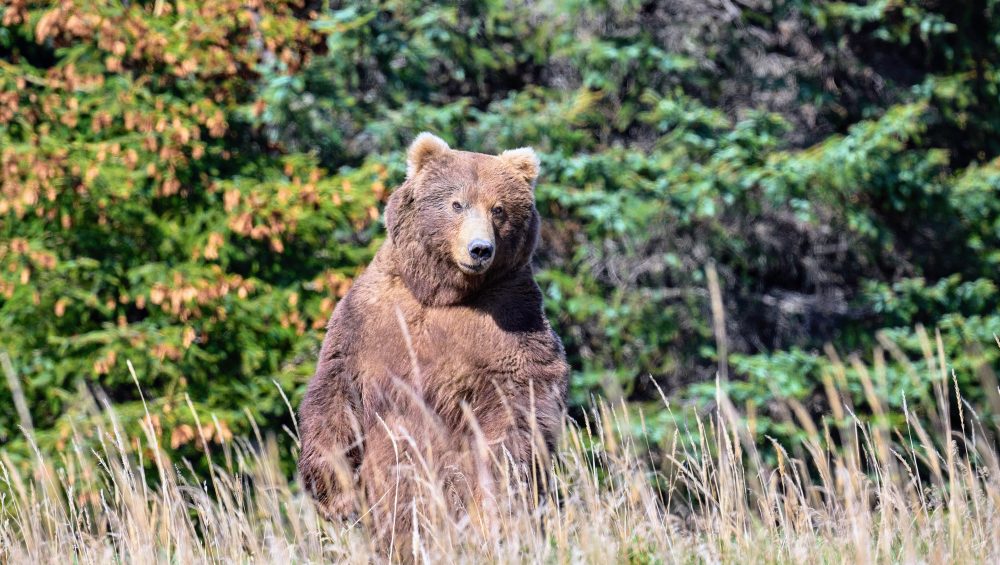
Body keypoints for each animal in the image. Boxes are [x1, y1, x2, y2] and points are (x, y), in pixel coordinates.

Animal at [297, 132, 569, 554]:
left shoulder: (511, 321)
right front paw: (335, 495)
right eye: (457, 203)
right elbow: (336, 389)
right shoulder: (370, 317)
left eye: (499, 210)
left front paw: (495, 496)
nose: (480, 249)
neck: (442, 293)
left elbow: (518, 404)